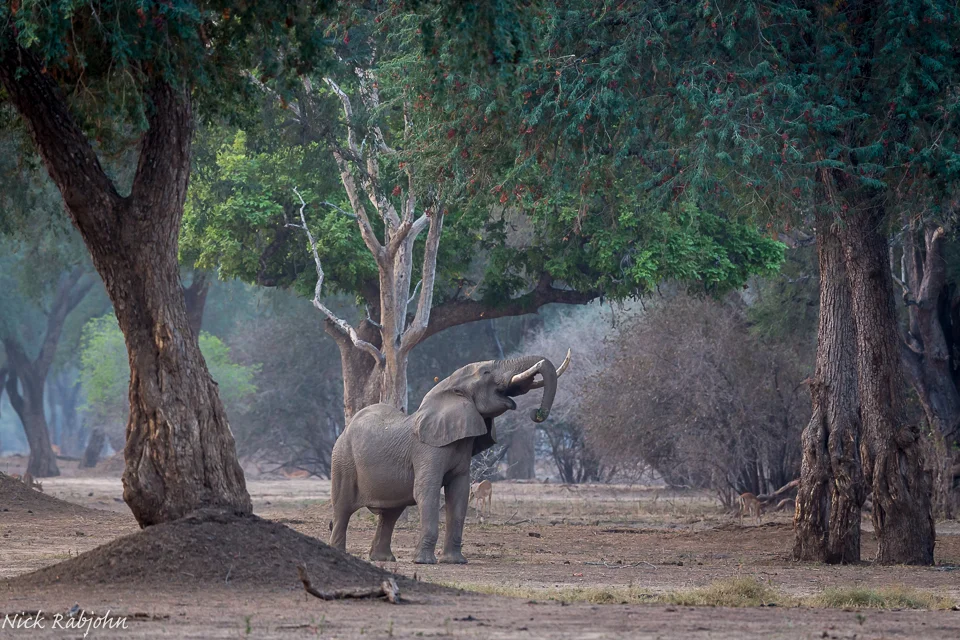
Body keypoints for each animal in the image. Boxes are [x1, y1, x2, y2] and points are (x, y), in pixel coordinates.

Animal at [329, 350, 571, 564]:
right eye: (486, 372)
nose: (536, 413)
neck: (448, 389)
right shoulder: (427, 449)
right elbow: (426, 491)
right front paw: (424, 562)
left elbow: (459, 494)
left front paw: (455, 561)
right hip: (342, 459)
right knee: (342, 509)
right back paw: (340, 553)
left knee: (390, 514)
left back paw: (383, 559)